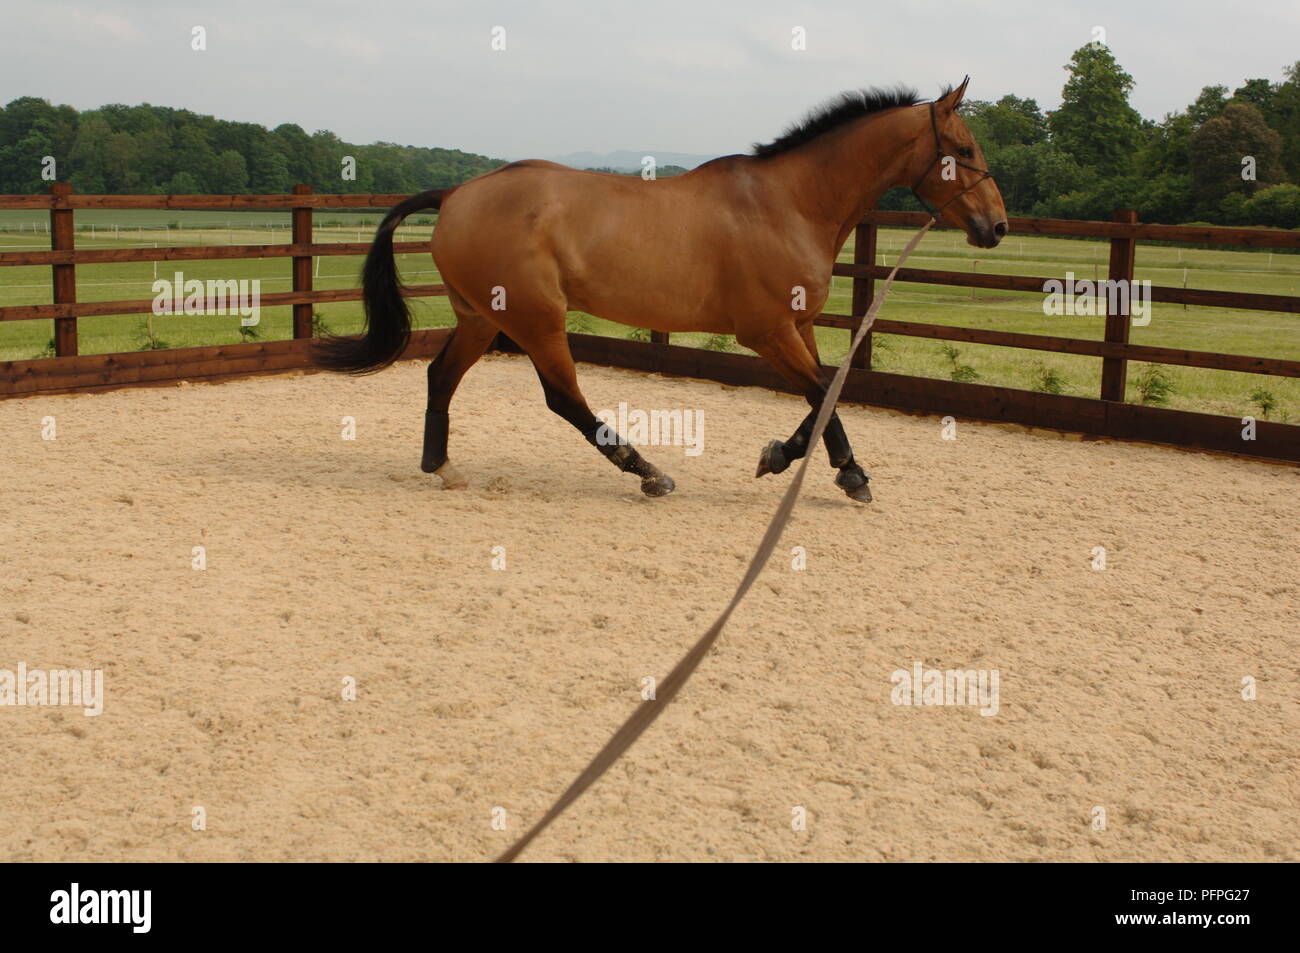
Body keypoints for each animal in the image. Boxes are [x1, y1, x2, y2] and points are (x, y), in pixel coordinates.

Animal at [315, 78, 1007, 502]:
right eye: (964, 148)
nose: (996, 227)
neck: (789, 203)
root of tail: (456, 193)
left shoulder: (800, 327)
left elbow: (829, 391)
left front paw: (783, 457)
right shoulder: (766, 333)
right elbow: (822, 395)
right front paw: (849, 475)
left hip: (485, 319)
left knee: (442, 377)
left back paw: (444, 468)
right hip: (538, 321)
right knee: (565, 399)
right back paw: (648, 473)